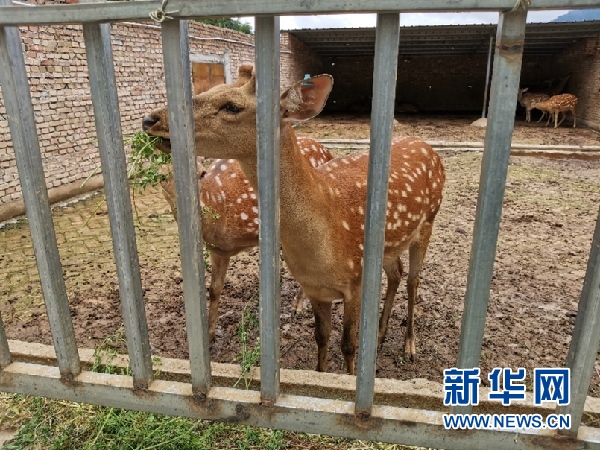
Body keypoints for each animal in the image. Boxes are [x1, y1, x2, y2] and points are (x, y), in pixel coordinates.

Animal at [160, 138, 333, 345]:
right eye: (161, 177)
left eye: (202, 173)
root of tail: (327, 150)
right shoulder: (218, 250)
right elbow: (214, 289)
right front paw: (209, 336)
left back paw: (298, 305)